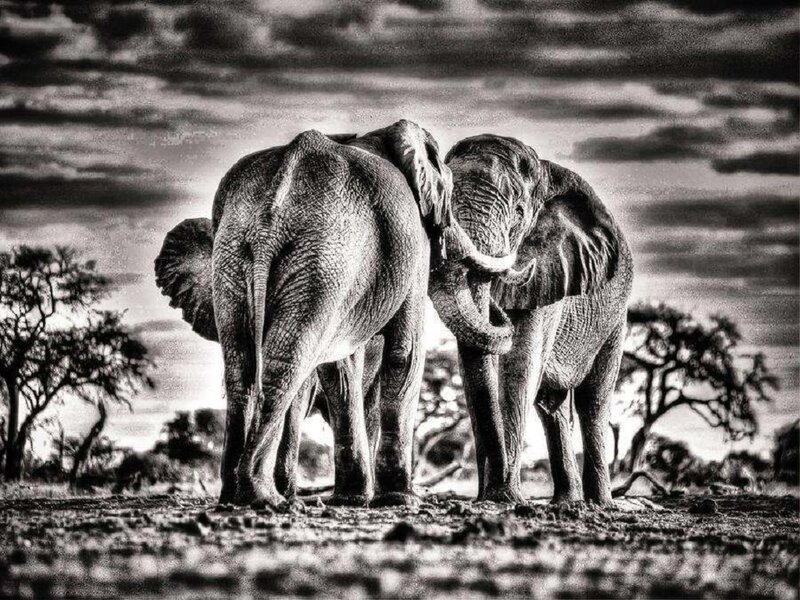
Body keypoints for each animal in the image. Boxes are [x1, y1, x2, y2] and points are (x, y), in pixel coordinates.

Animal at [154, 121, 517, 508]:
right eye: (447, 185)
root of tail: (272, 213)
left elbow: (339, 366)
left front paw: (353, 499)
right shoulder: (414, 245)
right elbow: (404, 352)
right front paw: (399, 499)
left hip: (239, 256)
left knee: (242, 365)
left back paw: (235, 497)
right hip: (323, 255)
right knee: (286, 361)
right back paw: (265, 497)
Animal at [428, 134, 633, 505]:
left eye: (519, 214)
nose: (496, 310)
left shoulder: (554, 269)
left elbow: (520, 365)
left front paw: (504, 497)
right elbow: (472, 367)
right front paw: (492, 497)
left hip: (615, 319)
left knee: (593, 402)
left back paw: (599, 504)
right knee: (552, 407)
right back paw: (566, 502)